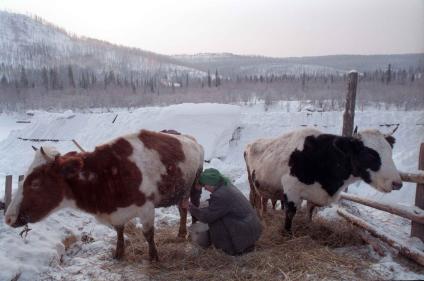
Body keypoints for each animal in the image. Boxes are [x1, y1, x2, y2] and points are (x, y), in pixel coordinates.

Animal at [4, 129, 204, 260]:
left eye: (36, 183)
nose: (8, 218)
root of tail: (190, 138)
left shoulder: (146, 207)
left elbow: (148, 234)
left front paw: (153, 257)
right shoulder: (116, 212)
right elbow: (119, 231)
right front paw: (118, 253)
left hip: (196, 184)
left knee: (193, 207)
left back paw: (192, 231)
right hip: (181, 191)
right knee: (182, 208)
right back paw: (181, 232)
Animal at [243, 127, 402, 232]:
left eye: (390, 152)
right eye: (371, 154)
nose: (397, 184)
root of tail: (251, 143)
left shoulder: (314, 194)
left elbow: (310, 211)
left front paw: (309, 226)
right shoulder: (291, 189)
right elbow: (290, 213)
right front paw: (287, 233)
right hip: (253, 184)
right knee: (255, 199)